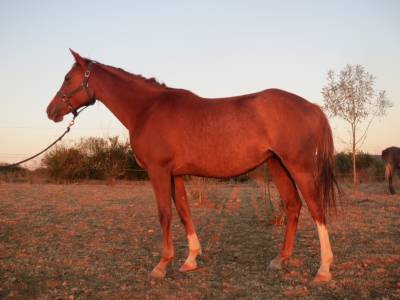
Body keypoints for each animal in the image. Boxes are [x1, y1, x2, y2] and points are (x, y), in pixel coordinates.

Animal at [47, 49, 340, 282]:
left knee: (316, 209)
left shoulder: (159, 171)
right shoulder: (175, 175)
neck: (148, 108)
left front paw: (161, 266)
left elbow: (165, 214)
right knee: (293, 206)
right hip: (277, 165)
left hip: (300, 167)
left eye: (68, 78)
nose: (50, 111)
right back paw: (280, 260)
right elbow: (184, 212)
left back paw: (323, 270)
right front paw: (190, 260)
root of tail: (312, 106)